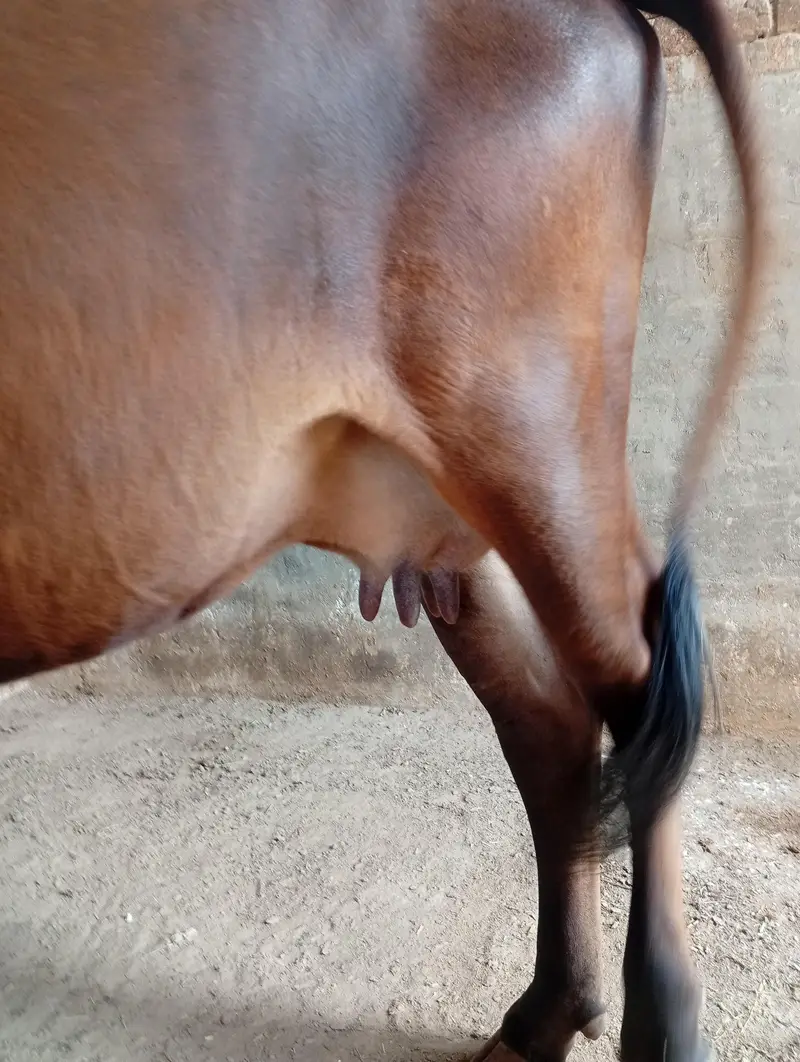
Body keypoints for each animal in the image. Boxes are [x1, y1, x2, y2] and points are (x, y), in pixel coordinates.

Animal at [0, 1, 765, 1059]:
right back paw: (542, 1014)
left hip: (537, 436)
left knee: (642, 691)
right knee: (551, 720)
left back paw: (655, 1022)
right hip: (462, 503)